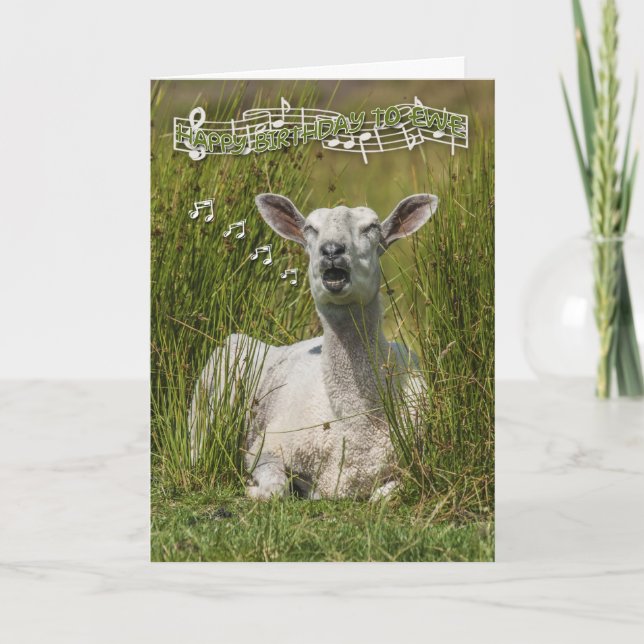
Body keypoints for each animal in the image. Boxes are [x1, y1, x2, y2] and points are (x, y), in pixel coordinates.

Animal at [189, 192, 438, 500]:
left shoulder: (415, 460)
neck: (356, 425)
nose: (332, 250)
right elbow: (276, 488)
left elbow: (388, 495)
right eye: (310, 228)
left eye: (372, 227)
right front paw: (253, 489)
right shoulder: (266, 447)